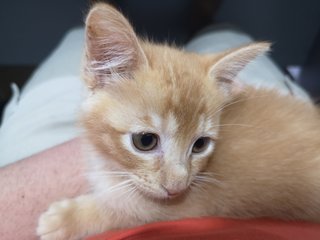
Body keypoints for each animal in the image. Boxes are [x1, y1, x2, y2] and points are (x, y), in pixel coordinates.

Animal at [37, 2, 320, 240]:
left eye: (200, 144)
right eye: (145, 141)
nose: (177, 188)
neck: (112, 165)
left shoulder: (190, 206)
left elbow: (124, 210)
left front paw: (66, 219)